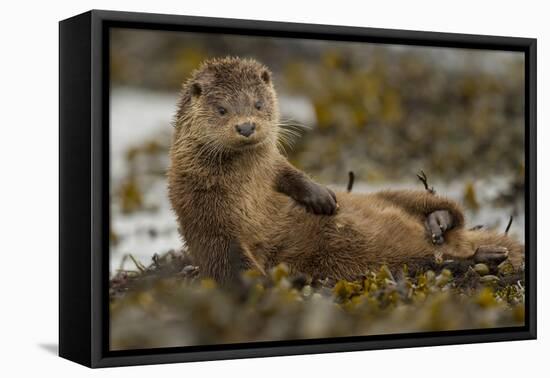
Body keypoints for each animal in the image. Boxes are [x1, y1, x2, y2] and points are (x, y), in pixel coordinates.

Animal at [167, 57, 528, 284]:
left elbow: (289, 173)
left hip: (397, 193)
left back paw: (438, 222)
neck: (246, 191)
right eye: (221, 109)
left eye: (258, 103)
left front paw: (322, 199)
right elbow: (230, 264)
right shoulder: (204, 217)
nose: (245, 126)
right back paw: (482, 256)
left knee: (448, 211)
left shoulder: (270, 168)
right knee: (433, 261)